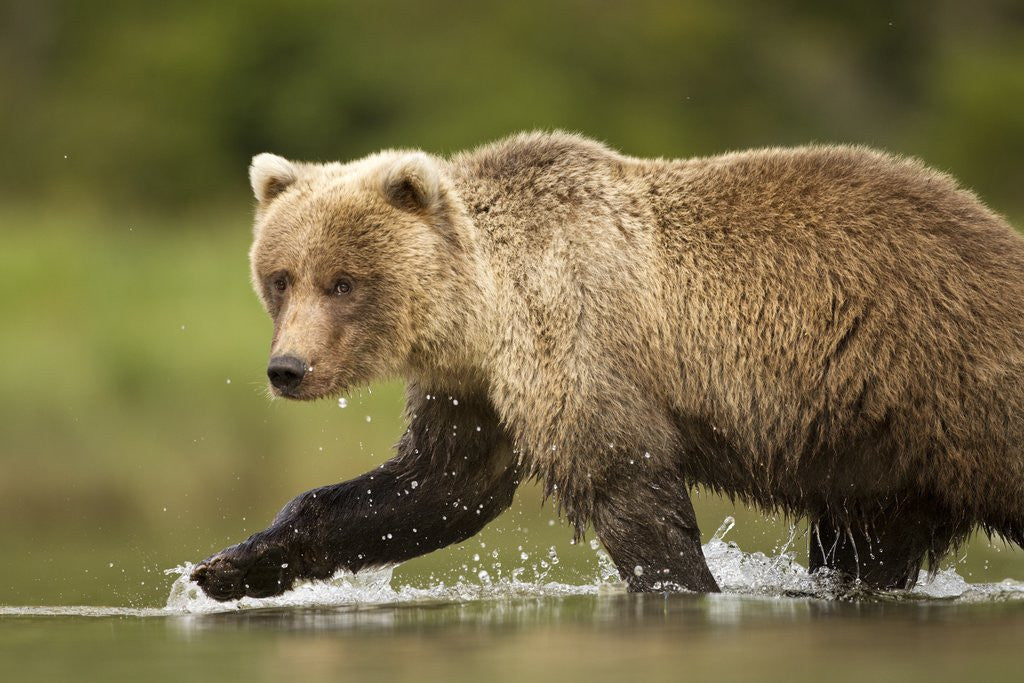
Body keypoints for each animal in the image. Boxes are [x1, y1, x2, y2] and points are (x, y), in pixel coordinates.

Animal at [191, 131, 1024, 600]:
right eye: (280, 277)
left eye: (344, 281)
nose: (288, 367)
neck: (481, 312)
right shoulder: (475, 391)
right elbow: (435, 488)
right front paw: (229, 567)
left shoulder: (575, 341)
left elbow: (625, 485)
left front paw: (686, 584)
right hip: (881, 451)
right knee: (865, 545)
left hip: (951, 381)